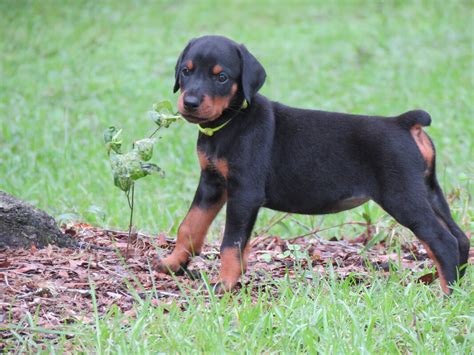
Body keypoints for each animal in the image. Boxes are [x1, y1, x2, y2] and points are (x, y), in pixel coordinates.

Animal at [154, 34, 468, 294]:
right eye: (186, 71)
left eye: (221, 77)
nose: (190, 102)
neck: (231, 121)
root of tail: (404, 122)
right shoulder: (212, 183)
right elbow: (190, 226)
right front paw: (172, 264)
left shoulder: (244, 193)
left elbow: (230, 243)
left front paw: (225, 283)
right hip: (429, 190)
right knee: (460, 238)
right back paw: (455, 283)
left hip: (402, 196)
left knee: (442, 240)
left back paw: (446, 294)